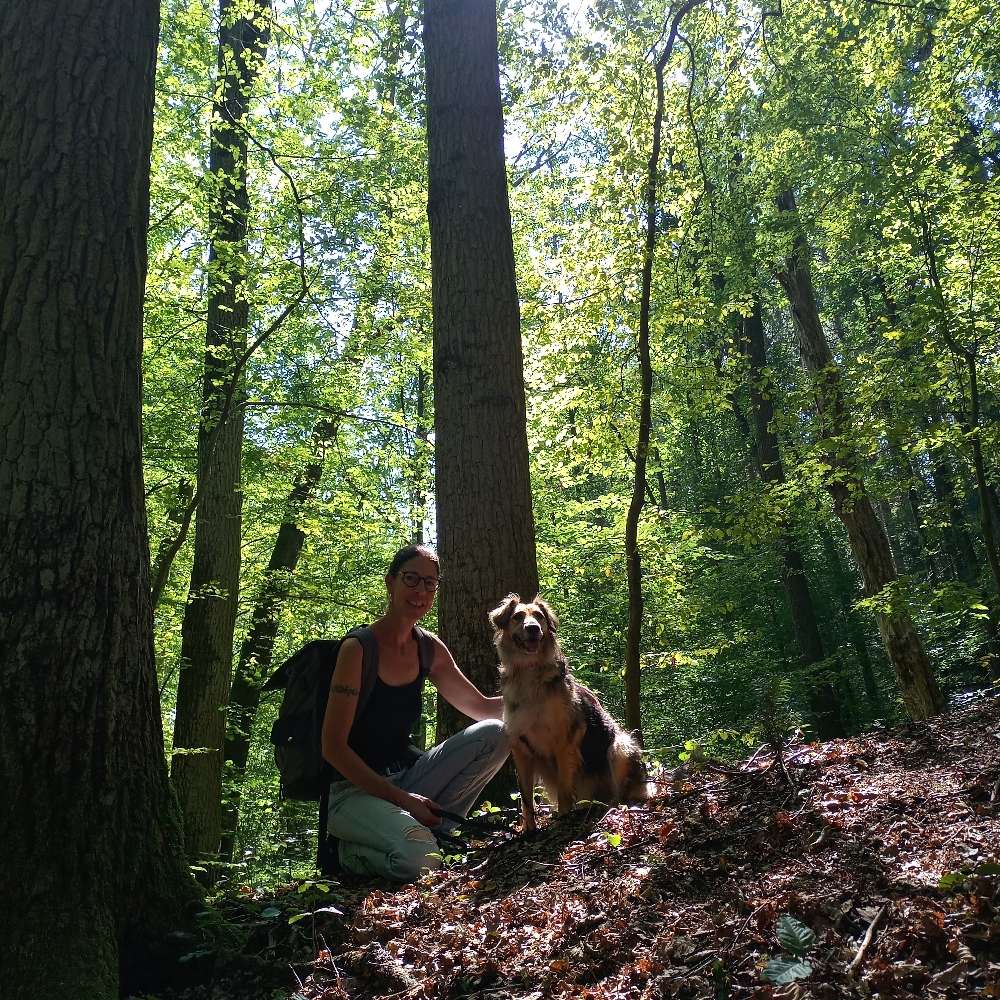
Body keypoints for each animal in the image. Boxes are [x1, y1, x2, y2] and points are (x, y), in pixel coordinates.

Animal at [488, 592, 652, 836]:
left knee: (621, 792)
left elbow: (565, 788)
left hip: (620, 746)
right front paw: (528, 828)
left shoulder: (564, 743)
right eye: (517, 616)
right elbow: (526, 798)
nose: (533, 628)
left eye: (539, 616)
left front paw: (563, 818)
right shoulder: (521, 749)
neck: (529, 673)